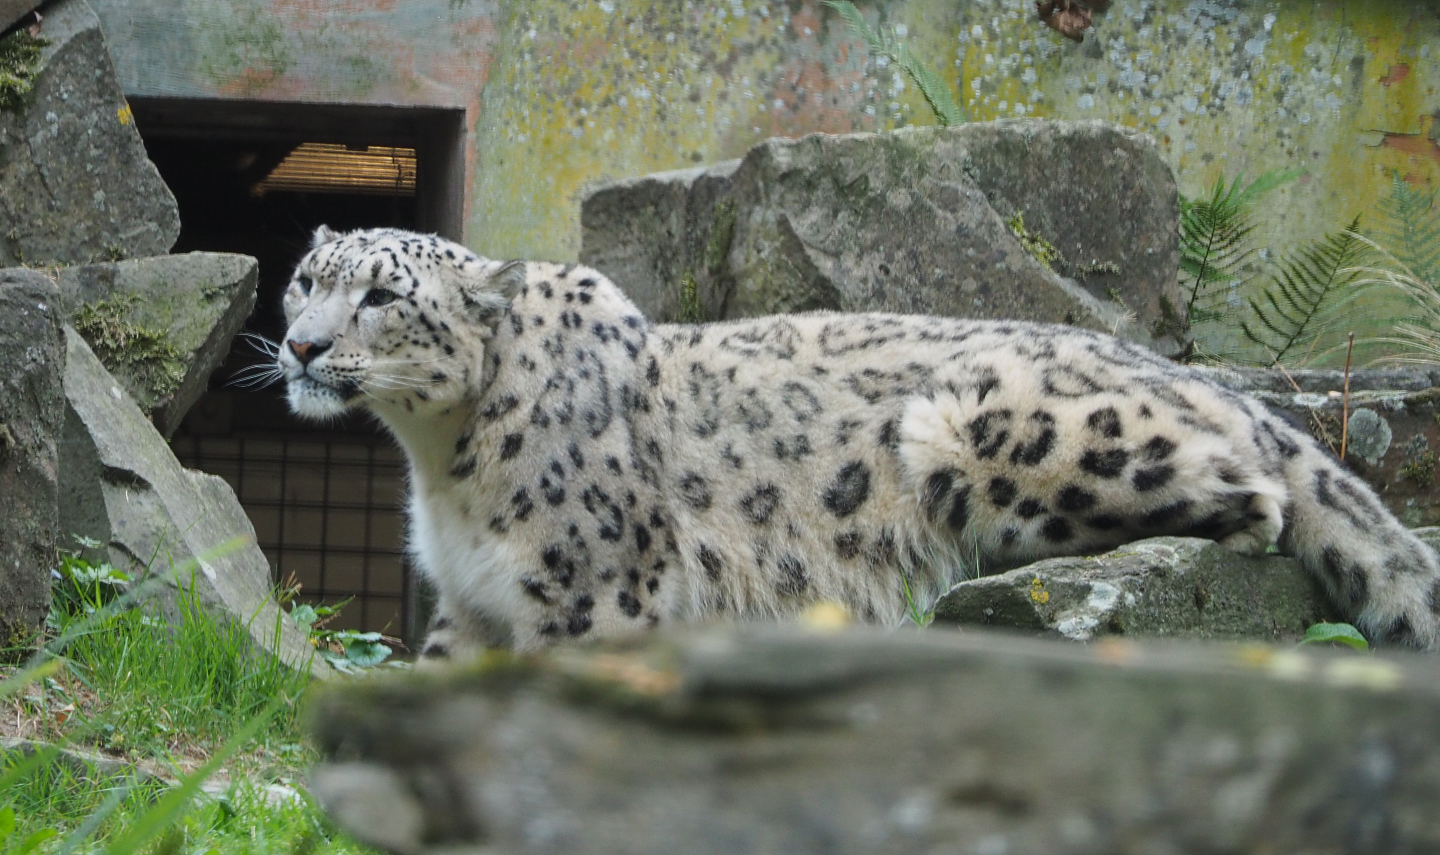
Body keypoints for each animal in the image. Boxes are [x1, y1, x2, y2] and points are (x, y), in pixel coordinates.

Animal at [277, 225, 1440, 658]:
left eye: (383, 295)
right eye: (304, 278)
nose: (298, 344)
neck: (440, 463)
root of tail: (1201, 377)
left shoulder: (591, 595)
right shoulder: (470, 605)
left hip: (984, 425)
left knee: (1257, 504)